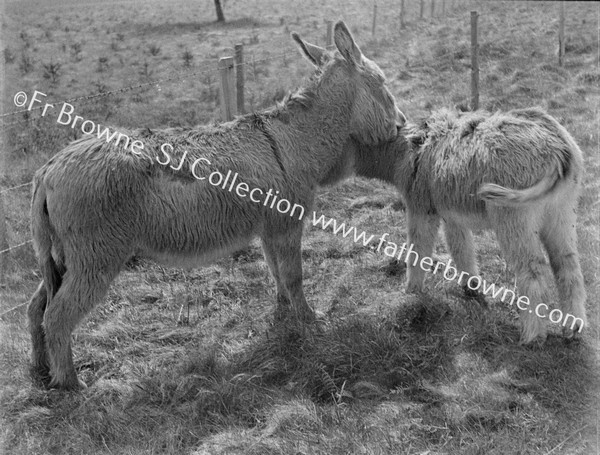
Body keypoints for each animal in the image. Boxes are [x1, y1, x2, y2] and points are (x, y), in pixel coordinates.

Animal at [27, 21, 404, 390]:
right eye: (383, 83)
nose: (401, 123)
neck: (297, 138)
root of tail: (48, 171)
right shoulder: (286, 225)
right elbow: (293, 276)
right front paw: (311, 323)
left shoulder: (270, 227)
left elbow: (276, 273)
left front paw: (283, 318)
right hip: (96, 257)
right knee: (57, 316)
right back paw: (71, 385)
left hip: (64, 258)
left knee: (36, 308)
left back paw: (42, 372)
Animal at [354, 108, 584, 342]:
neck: (410, 147)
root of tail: (558, 147)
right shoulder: (451, 216)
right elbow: (461, 249)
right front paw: (471, 288)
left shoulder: (421, 209)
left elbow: (418, 251)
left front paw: (411, 292)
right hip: (561, 211)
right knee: (567, 265)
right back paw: (573, 327)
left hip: (514, 216)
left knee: (533, 269)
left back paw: (533, 335)